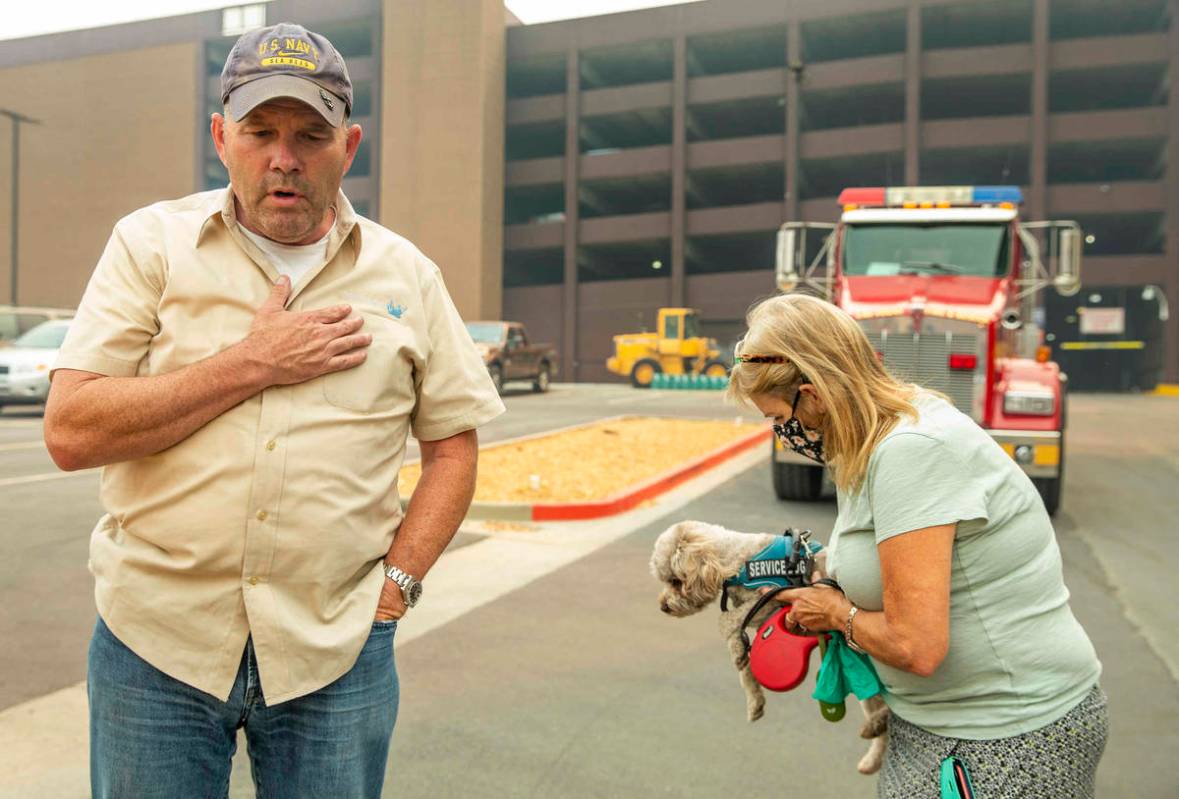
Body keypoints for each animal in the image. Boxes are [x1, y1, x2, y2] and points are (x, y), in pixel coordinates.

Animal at [650, 518, 886, 777]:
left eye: (675, 580)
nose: (663, 607)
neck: (736, 563)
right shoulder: (759, 613)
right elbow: (743, 653)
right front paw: (752, 692)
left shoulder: (769, 598)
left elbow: (726, 621)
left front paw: (734, 647)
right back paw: (874, 747)